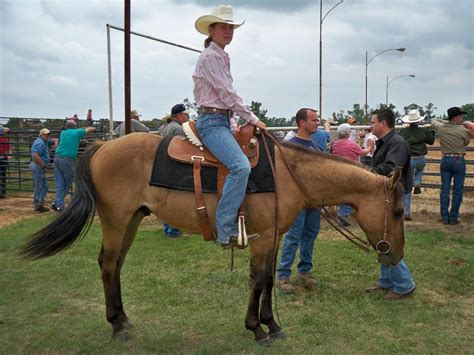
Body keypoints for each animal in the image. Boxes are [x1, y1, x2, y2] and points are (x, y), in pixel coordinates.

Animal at [22, 132, 406, 346]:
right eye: (399, 212)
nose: (396, 256)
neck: (288, 174)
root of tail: (102, 146)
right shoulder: (263, 237)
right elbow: (258, 281)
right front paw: (257, 330)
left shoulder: (274, 237)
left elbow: (268, 280)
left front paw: (272, 325)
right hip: (116, 221)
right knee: (107, 264)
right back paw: (117, 326)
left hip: (131, 220)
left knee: (115, 265)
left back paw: (123, 320)